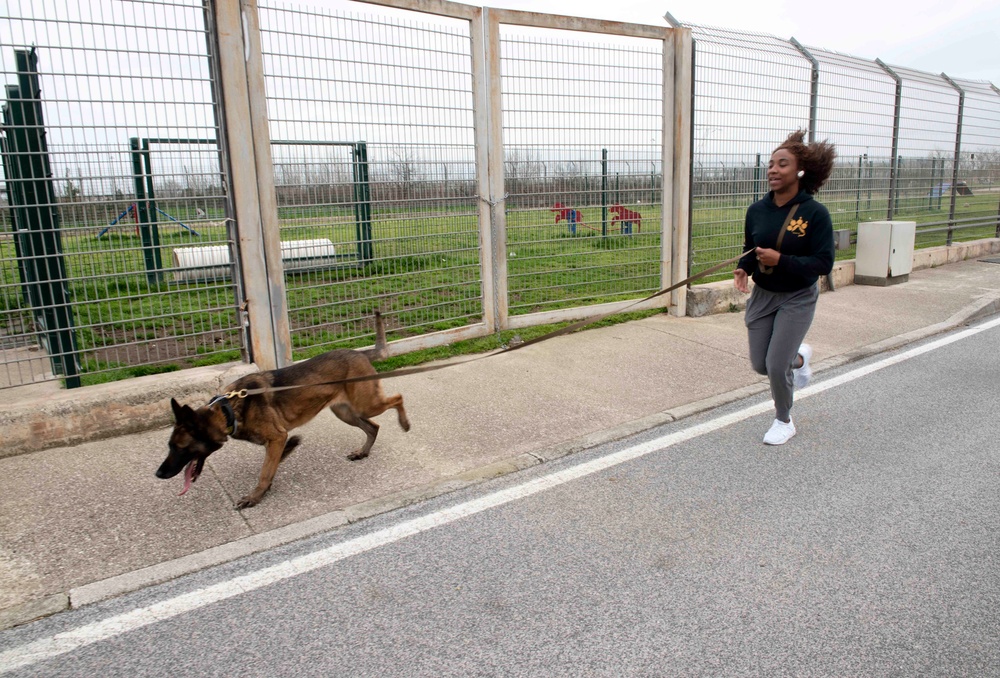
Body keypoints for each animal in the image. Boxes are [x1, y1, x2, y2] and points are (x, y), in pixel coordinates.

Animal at [156, 314, 406, 510]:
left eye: (180, 447)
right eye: (170, 446)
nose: (158, 474)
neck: (228, 410)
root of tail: (361, 353)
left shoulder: (277, 437)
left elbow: (265, 471)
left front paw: (255, 496)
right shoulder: (275, 442)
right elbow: (272, 465)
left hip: (366, 404)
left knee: (398, 398)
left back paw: (405, 424)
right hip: (346, 413)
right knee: (373, 426)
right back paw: (363, 452)